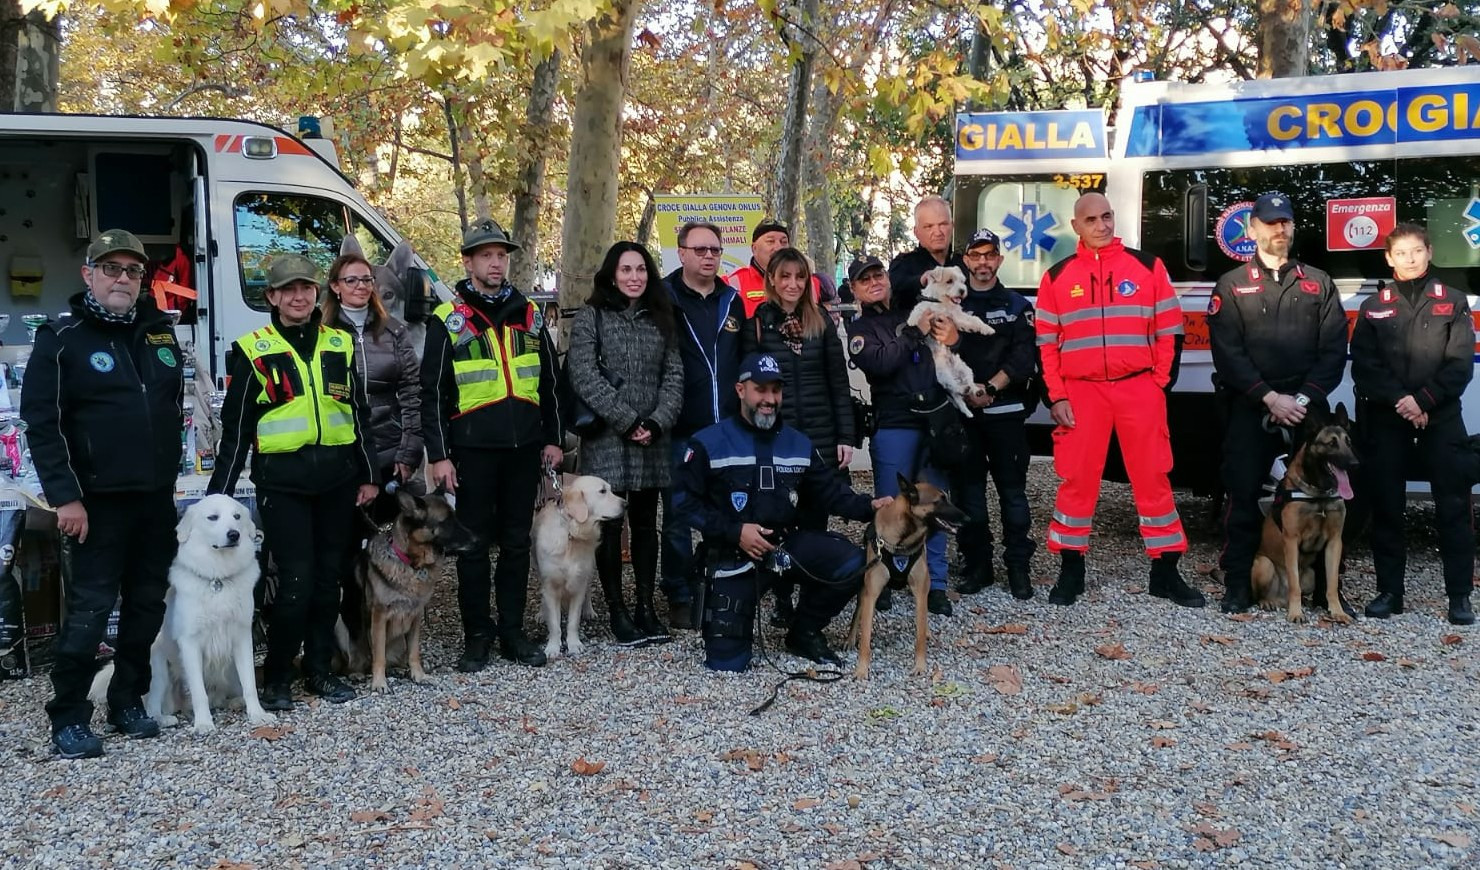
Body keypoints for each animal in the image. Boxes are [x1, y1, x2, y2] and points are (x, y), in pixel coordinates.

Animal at [337, 485, 476, 689]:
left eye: (456, 518)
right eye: (446, 522)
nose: (477, 539)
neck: (411, 564)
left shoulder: (415, 616)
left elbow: (414, 652)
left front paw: (418, 675)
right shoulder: (379, 616)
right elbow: (378, 655)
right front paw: (379, 682)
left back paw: (399, 669)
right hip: (341, 627)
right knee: (348, 663)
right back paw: (356, 673)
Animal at [532, 476, 624, 659]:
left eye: (610, 489)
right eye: (602, 491)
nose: (626, 504)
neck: (571, 533)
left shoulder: (579, 581)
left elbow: (573, 621)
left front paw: (574, 644)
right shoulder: (550, 584)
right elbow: (554, 623)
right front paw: (553, 647)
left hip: (590, 567)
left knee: (588, 589)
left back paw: (588, 610)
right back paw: (541, 612)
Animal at [846, 476, 970, 680]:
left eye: (948, 498)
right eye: (939, 501)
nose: (967, 519)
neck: (902, 541)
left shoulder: (920, 591)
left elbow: (919, 636)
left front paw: (920, 665)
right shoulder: (871, 594)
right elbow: (865, 639)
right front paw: (862, 669)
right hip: (864, 589)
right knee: (858, 612)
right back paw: (850, 639)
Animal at [899, 264, 994, 414]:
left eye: (962, 281)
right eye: (949, 281)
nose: (962, 291)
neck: (942, 303)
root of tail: (955, 374)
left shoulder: (957, 317)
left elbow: (975, 320)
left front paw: (987, 328)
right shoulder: (926, 308)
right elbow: (918, 311)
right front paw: (913, 321)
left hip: (965, 368)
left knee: (968, 384)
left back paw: (975, 390)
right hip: (942, 374)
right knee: (953, 387)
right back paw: (963, 389)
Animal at [1249, 405, 1355, 621]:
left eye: (1348, 442)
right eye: (1331, 443)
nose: (1354, 463)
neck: (1319, 493)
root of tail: (1280, 597)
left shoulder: (1334, 542)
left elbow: (1332, 583)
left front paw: (1337, 611)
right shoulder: (1291, 540)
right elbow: (1294, 585)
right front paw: (1296, 612)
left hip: (1311, 575)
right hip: (1264, 564)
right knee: (1264, 593)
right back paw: (1268, 601)